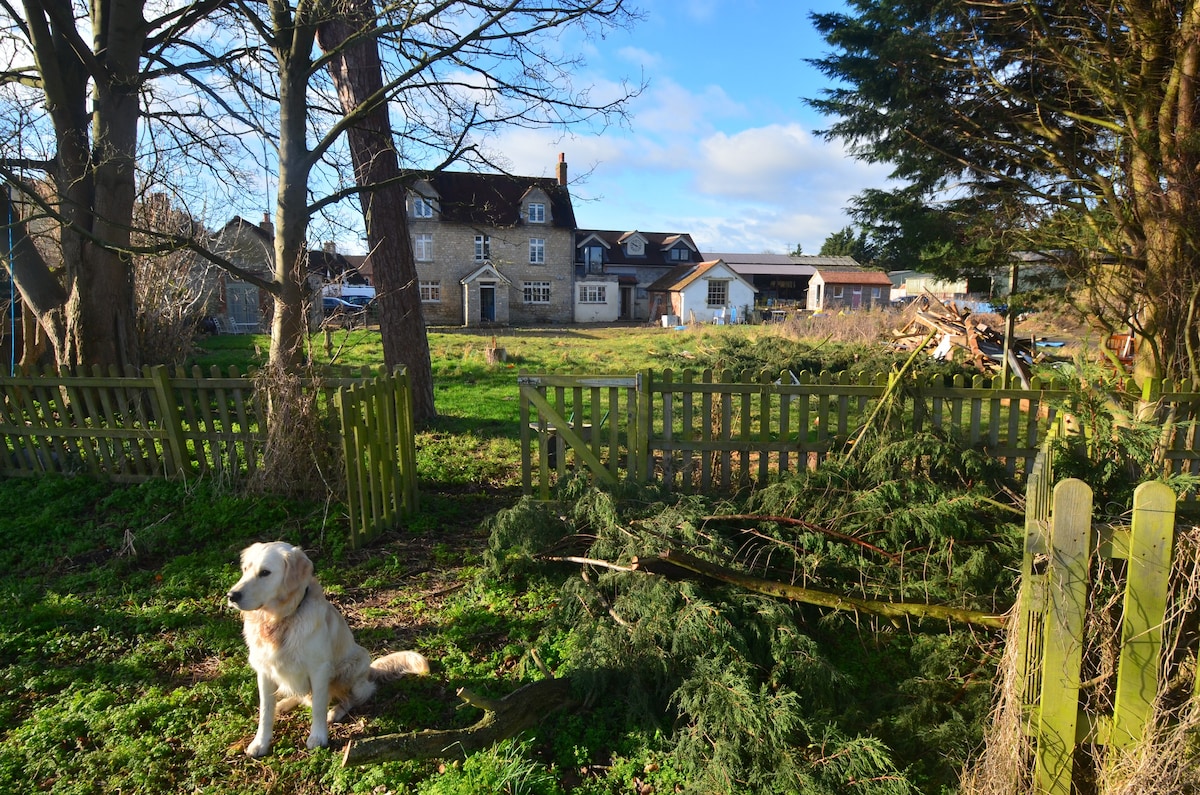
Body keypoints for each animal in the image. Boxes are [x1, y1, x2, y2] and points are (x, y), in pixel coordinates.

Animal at [226, 542, 429, 758]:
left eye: (265, 572)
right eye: (245, 569)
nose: (231, 596)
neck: (279, 620)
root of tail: (370, 670)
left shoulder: (319, 669)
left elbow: (318, 706)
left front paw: (318, 737)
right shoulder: (264, 670)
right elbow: (265, 711)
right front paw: (260, 743)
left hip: (355, 666)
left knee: (354, 697)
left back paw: (336, 711)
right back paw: (284, 704)